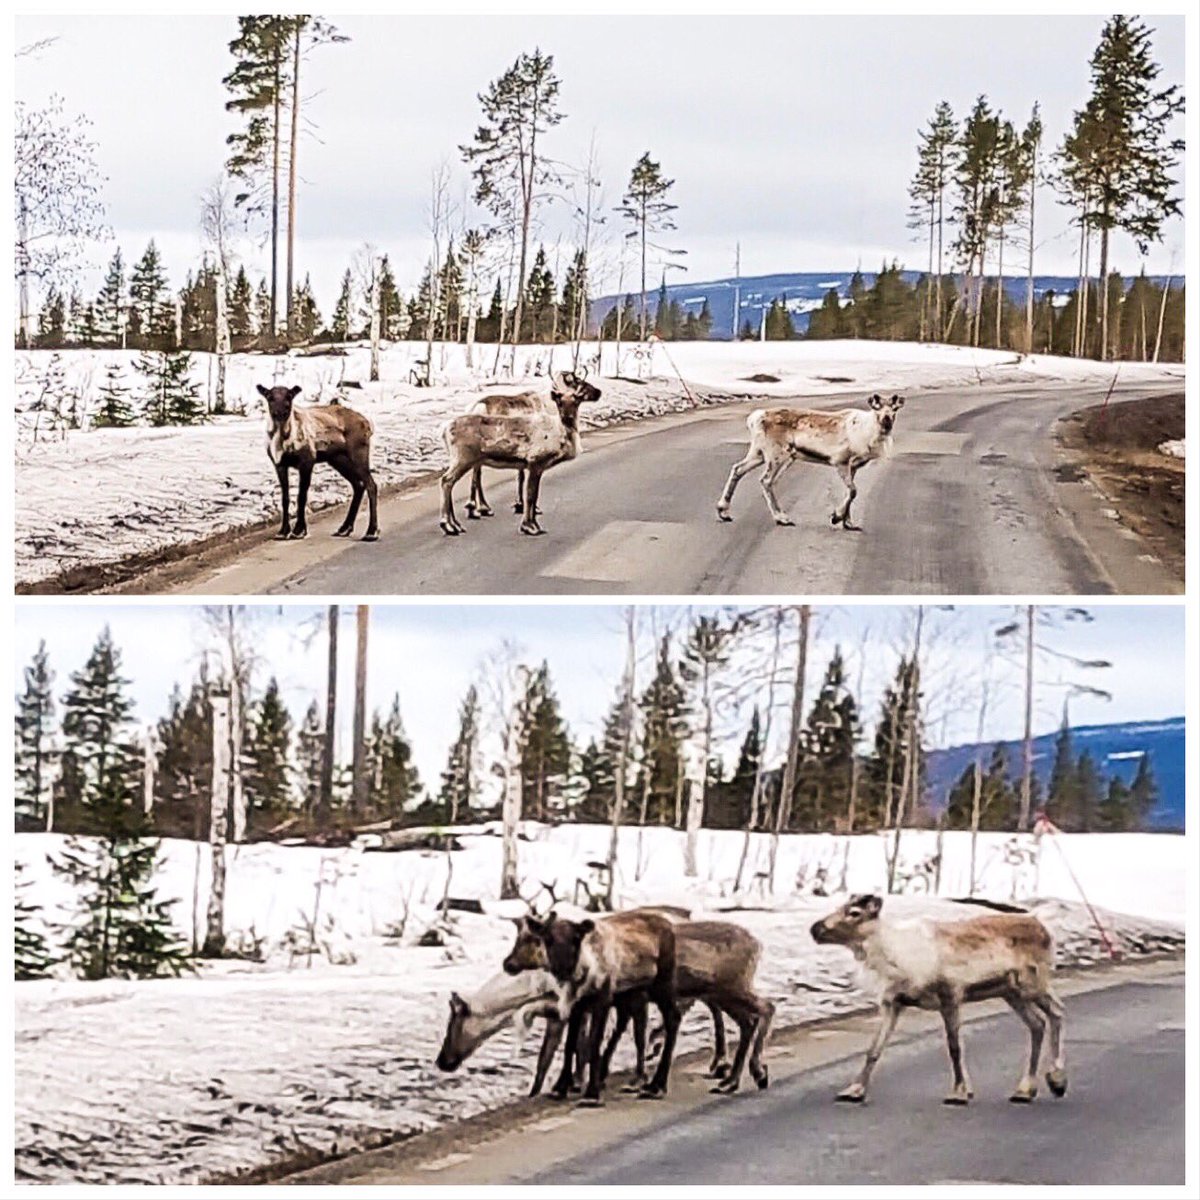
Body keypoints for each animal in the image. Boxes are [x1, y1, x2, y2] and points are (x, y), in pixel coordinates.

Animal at [258, 384, 379, 542]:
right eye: (269, 397)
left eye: (289, 396)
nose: (280, 413)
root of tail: (367, 424)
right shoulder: (279, 464)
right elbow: (285, 498)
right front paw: (283, 531)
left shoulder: (307, 461)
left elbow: (301, 496)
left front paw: (299, 530)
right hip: (338, 459)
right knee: (358, 485)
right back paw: (344, 528)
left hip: (358, 454)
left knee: (371, 485)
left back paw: (371, 532)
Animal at [439, 369, 600, 537]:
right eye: (559, 402)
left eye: (577, 400)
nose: (567, 418)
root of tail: (445, 430)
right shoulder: (535, 462)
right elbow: (530, 495)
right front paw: (529, 526)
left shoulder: (533, 466)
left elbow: (532, 493)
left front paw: (529, 521)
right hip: (462, 459)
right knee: (447, 480)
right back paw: (450, 524)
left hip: (468, 460)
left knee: (458, 481)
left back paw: (460, 521)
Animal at [716, 393, 905, 531]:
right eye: (877, 408)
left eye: (894, 409)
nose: (887, 419)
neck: (867, 432)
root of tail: (755, 419)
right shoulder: (841, 461)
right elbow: (853, 491)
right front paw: (836, 517)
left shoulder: (854, 467)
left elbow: (849, 492)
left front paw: (849, 523)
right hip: (777, 455)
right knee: (766, 480)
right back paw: (782, 518)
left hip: (758, 453)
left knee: (738, 469)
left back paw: (723, 511)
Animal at [810, 894, 1067, 1106]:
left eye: (854, 912)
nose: (815, 928)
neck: (894, 957)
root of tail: (1043, 927)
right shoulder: (892, 1003)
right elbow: (874, 1049)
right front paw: (853, 1090)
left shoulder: (950, 995)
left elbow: (954, 1047)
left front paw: (959, 1093)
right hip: (1010, 992)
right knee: (1037, 1023)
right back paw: (1025, 1090)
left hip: (1033, 984)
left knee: (1056, 1011)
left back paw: (1057, 1081)